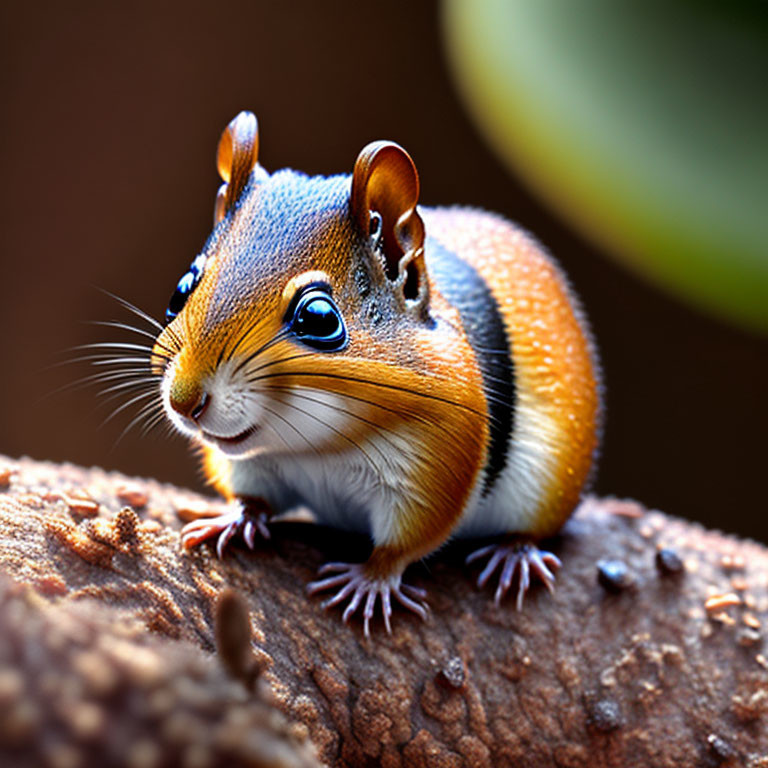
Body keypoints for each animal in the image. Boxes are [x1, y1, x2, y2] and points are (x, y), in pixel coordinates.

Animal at [153, 109, 604, 636]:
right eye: (181, 291)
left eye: (319, 319)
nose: (184, 401)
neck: (318, 447)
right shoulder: (253, 465)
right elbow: (254, 497)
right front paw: (234, 518)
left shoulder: (435, 466)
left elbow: (408, 539)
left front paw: (370, 581)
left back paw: (515, 555)